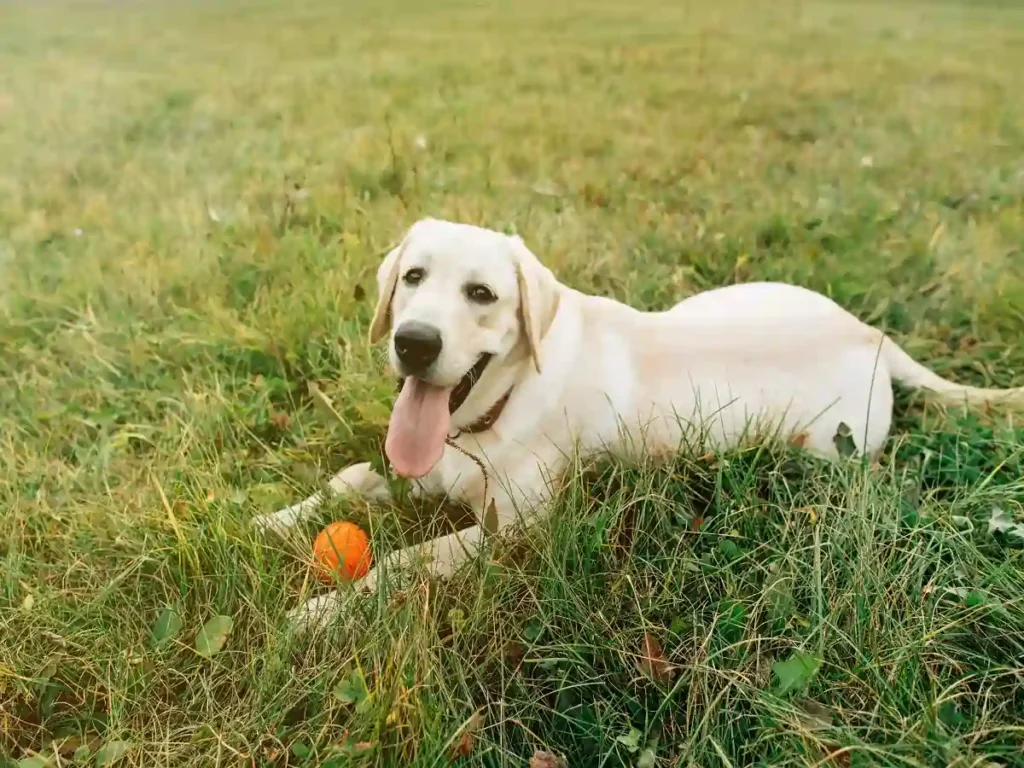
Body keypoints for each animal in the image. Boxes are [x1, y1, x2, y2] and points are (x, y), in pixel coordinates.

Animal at [249, 218, 1024, 630]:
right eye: (412, 277)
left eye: (482, 294)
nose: (414, 342)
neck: (491, 412)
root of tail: (873, 336)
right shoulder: (422, 466)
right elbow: (349, 478)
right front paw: (266, 520)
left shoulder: (514, 533)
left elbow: (405, 559)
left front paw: (321, 612)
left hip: (826, 448)